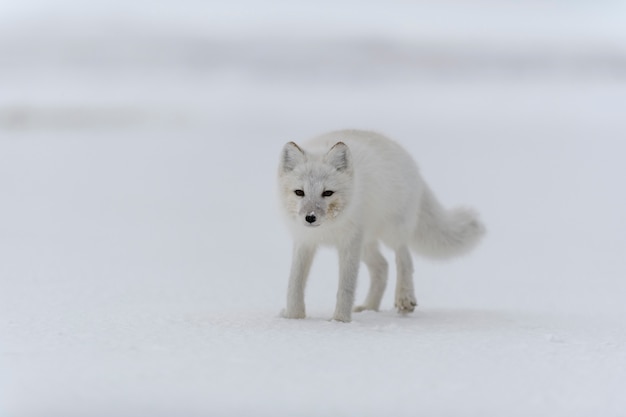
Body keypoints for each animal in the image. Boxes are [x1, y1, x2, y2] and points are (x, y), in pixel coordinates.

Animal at [276, 130, 482, 322]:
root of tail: (412, 165)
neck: (327, 229)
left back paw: (404, 297)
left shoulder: (350, 243)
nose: (310, 218)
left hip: (391, 232)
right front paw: (294, 317)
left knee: (404, 258)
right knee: (382, 266)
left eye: (327, 193)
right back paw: (369, 307)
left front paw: (339, 321)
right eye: (299, 192)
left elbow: (346, 286)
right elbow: (294, 282)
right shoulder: (304, 241)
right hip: (366, 244)